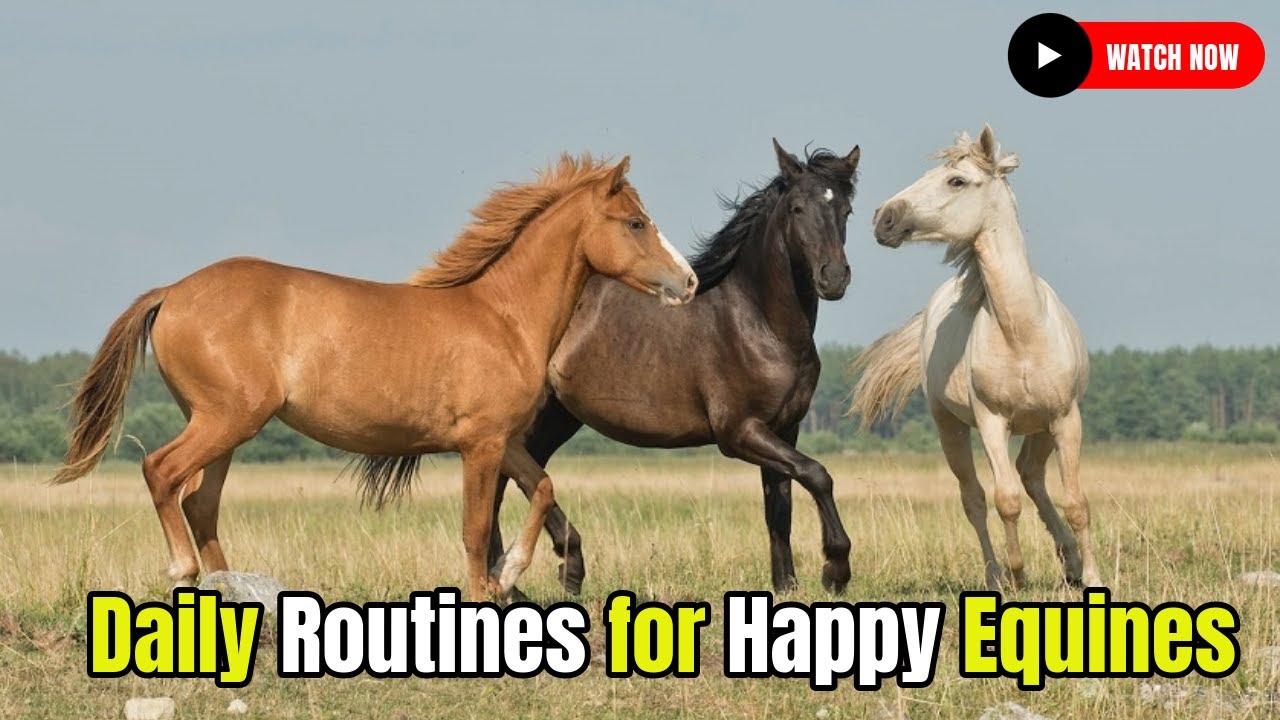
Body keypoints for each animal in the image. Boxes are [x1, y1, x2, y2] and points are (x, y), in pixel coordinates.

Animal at [52, 154, 698, 602]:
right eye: (635, 223)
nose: (688, 282)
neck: (502, 316)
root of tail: (173, 292)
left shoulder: (503, 440)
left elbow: (542, 488)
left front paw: (509, 573)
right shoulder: (480, 444)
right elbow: (474, 528)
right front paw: (485, 590)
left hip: (223, 427)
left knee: (200, 501)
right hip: (226, 418)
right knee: (162, 473)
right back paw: (184, 572)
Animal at [489, 139, 861, 594]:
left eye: (846, 210)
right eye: (797, 208)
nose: (834, 278)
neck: (758, 323)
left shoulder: (783, 429)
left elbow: (780, 509)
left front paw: (786, 585)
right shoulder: (739, 432)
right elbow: (817, 473)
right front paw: (835, 569)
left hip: (557, 417)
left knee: (521, 475)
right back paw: (534, 573)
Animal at [849, 125, 1102, 591]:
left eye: (957, 181)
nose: (883, 218)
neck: (1022, 334)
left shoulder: (1066, 418)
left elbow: (1076, 502)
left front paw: (1092, 577)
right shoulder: (991, 422)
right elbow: (1005, 500)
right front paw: (1018, 577)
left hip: (1041, 427)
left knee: (1032, 475)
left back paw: (1070, 562)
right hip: (950, 426)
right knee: (976, 499)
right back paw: (996, 575)